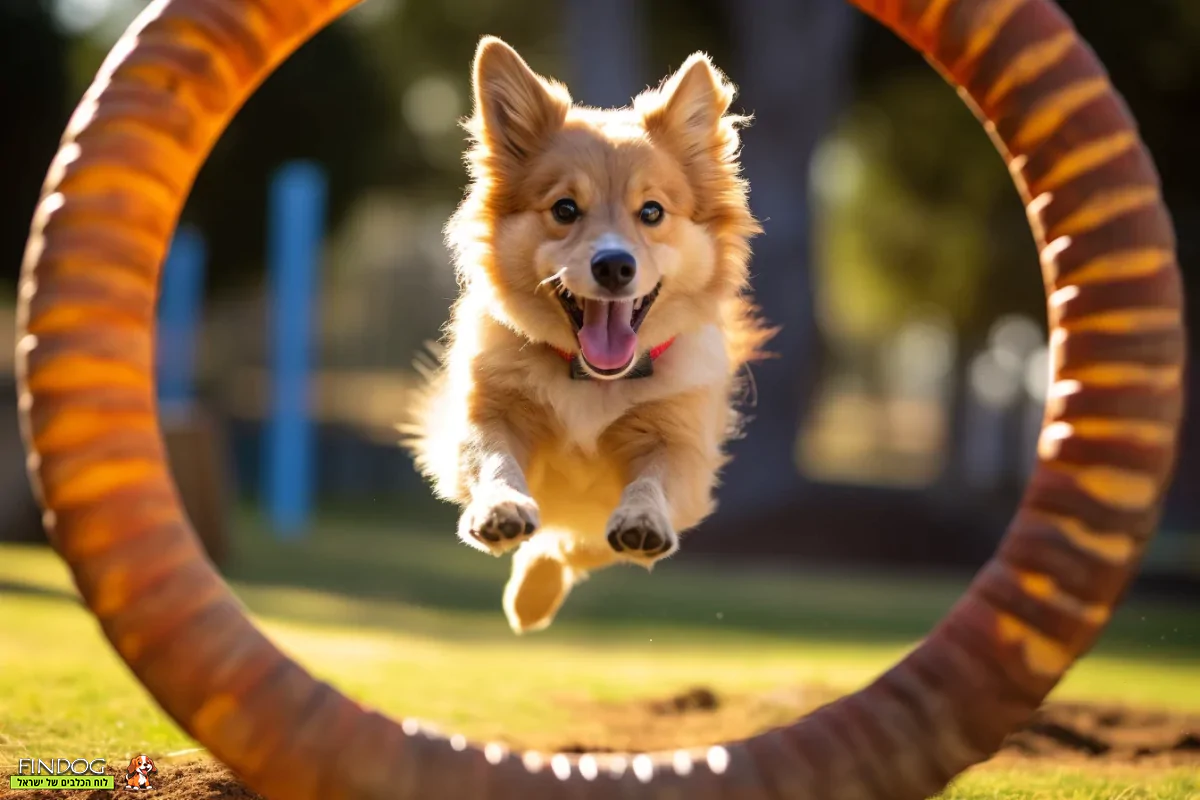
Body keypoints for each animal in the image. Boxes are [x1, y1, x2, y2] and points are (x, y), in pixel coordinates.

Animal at [403, 37, 768, 633]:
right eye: (565, 209)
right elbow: (494, 459)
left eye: (652, 211)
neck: (592, 381)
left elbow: (648, 486)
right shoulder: (487, 413)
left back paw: (534, 593)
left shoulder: (681, 447)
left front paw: (642, 518)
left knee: (574, 543)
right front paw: (501, 508)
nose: (614, 265)